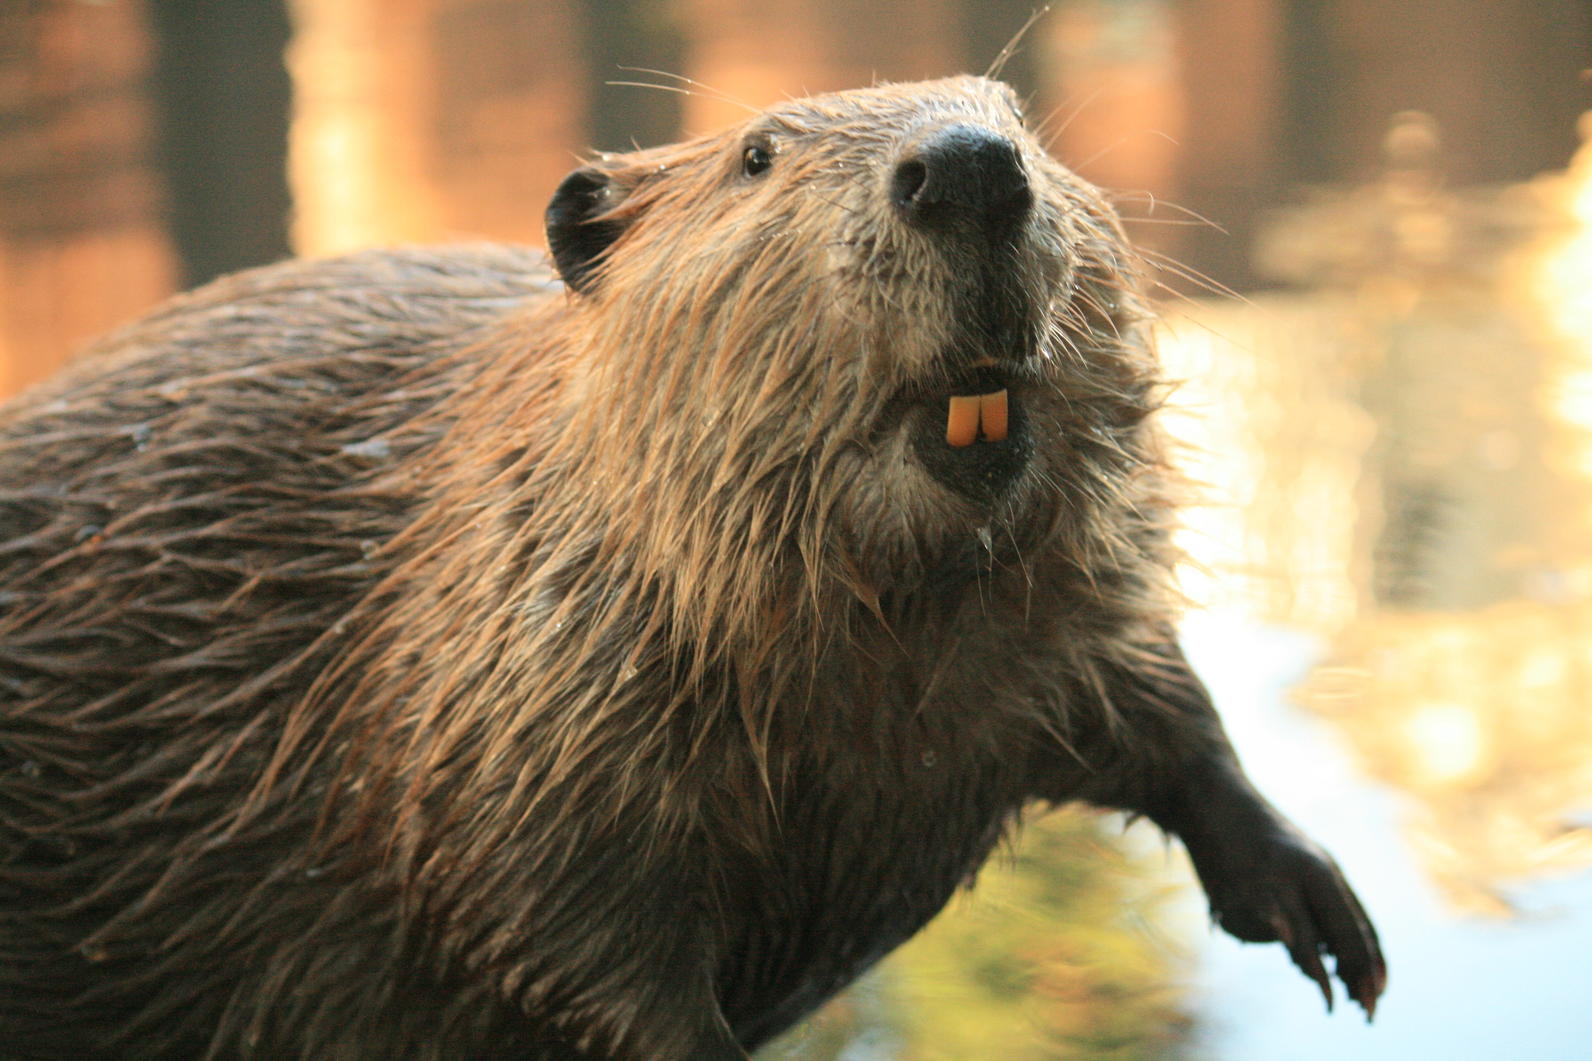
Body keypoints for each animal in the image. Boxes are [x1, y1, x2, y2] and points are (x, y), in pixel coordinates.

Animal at [0, 78, 1381, 1051]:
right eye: (757, 154)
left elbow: (1154, 703)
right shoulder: (508, 692)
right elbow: (544, 923)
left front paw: (1324, 919)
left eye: (1017, 118)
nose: (965, 168)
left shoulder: (1050, 626)